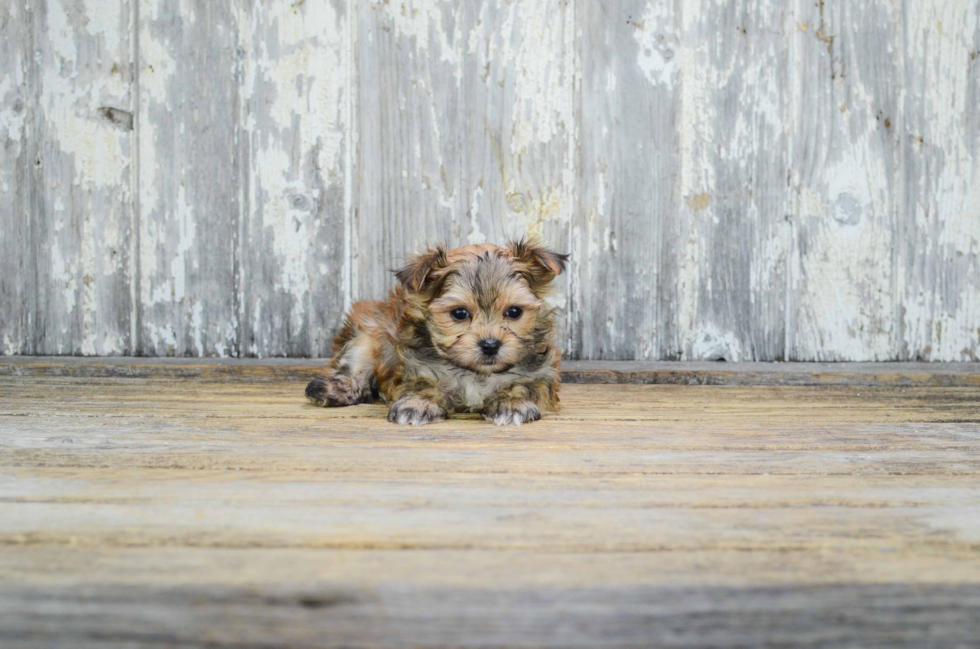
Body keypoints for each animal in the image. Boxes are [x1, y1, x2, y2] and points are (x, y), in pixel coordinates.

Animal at [304, 238, 568, 426]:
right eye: (459, 313)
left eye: (514, 311)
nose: (490, 345)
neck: (476, 373)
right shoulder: (416, 367)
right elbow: (423, 384)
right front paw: (417, 404)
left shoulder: (540, 373)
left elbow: (523, 385)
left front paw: (513, 403)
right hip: (370, 330)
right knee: (353, 369)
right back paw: (333, 389)